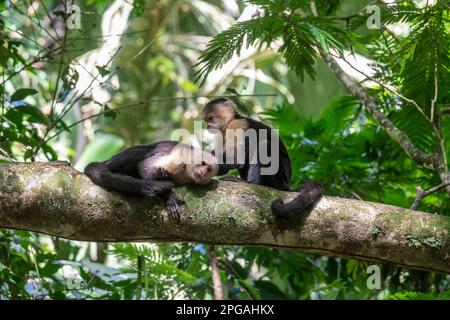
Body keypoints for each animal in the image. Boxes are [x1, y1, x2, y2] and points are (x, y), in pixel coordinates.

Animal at [85, 141, 219, 219]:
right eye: (203, 163)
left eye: (209, 169)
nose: (202, 172)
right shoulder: (181, 157)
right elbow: (145, 165)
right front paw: (168, 196)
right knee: (143, 152)